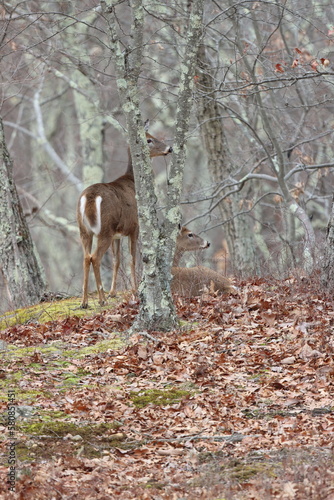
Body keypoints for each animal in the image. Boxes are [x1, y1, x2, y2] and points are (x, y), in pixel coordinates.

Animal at [77, 122, 172, 308]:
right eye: (149, 139)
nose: (169, 148)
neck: (132, 181)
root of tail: (90, 197)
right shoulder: (134, 227)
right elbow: (132, 260)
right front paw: (134, 291)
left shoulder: (117, 234)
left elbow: (117, 260)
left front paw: (113, 292)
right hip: (104, 230)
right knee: (95, 258)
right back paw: (101, 299)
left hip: (84, 230)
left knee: (85, 257)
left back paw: (85, 302)